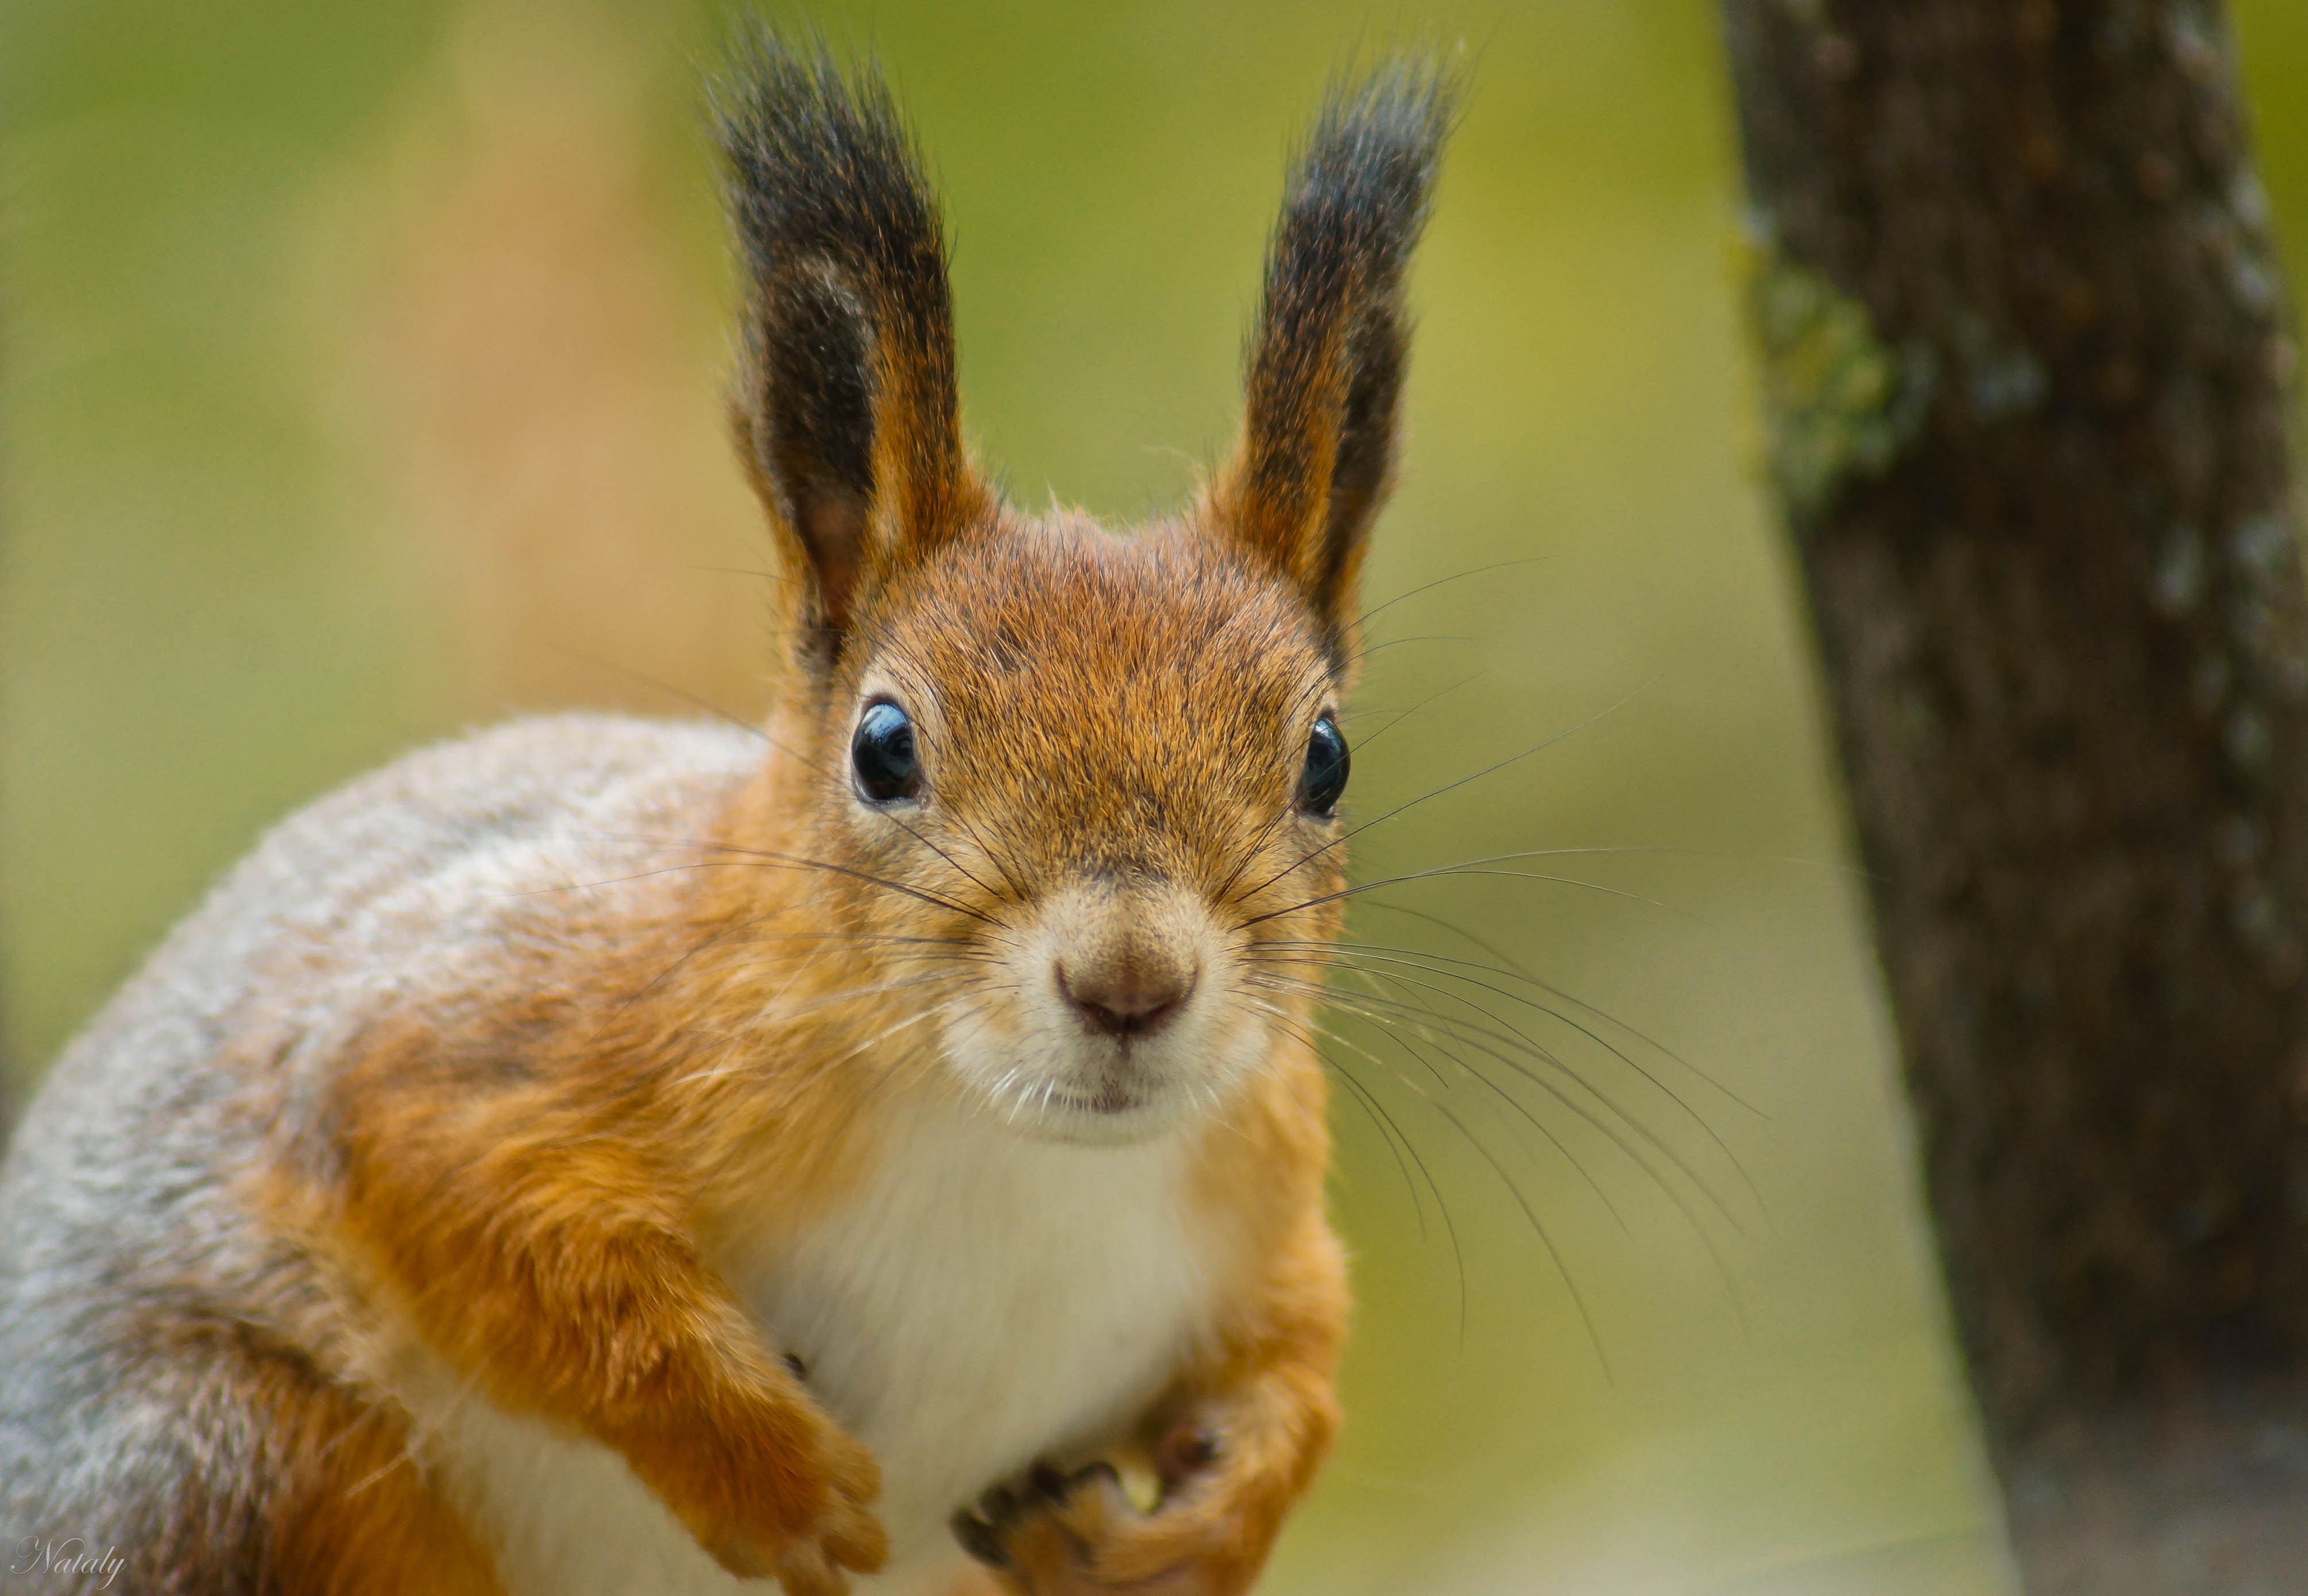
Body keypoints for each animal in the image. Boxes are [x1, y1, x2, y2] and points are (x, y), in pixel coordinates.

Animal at [0, 28, 1440, 1596]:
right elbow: (469, 1187)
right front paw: (765, 1467)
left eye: (1324, 759)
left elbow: (1298, 1351)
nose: (1129, 981)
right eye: (883, 745)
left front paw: (1192, 1532)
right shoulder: (485, 1024)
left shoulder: (1260, 1197)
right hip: (225, 1450)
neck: (1007, 1151)